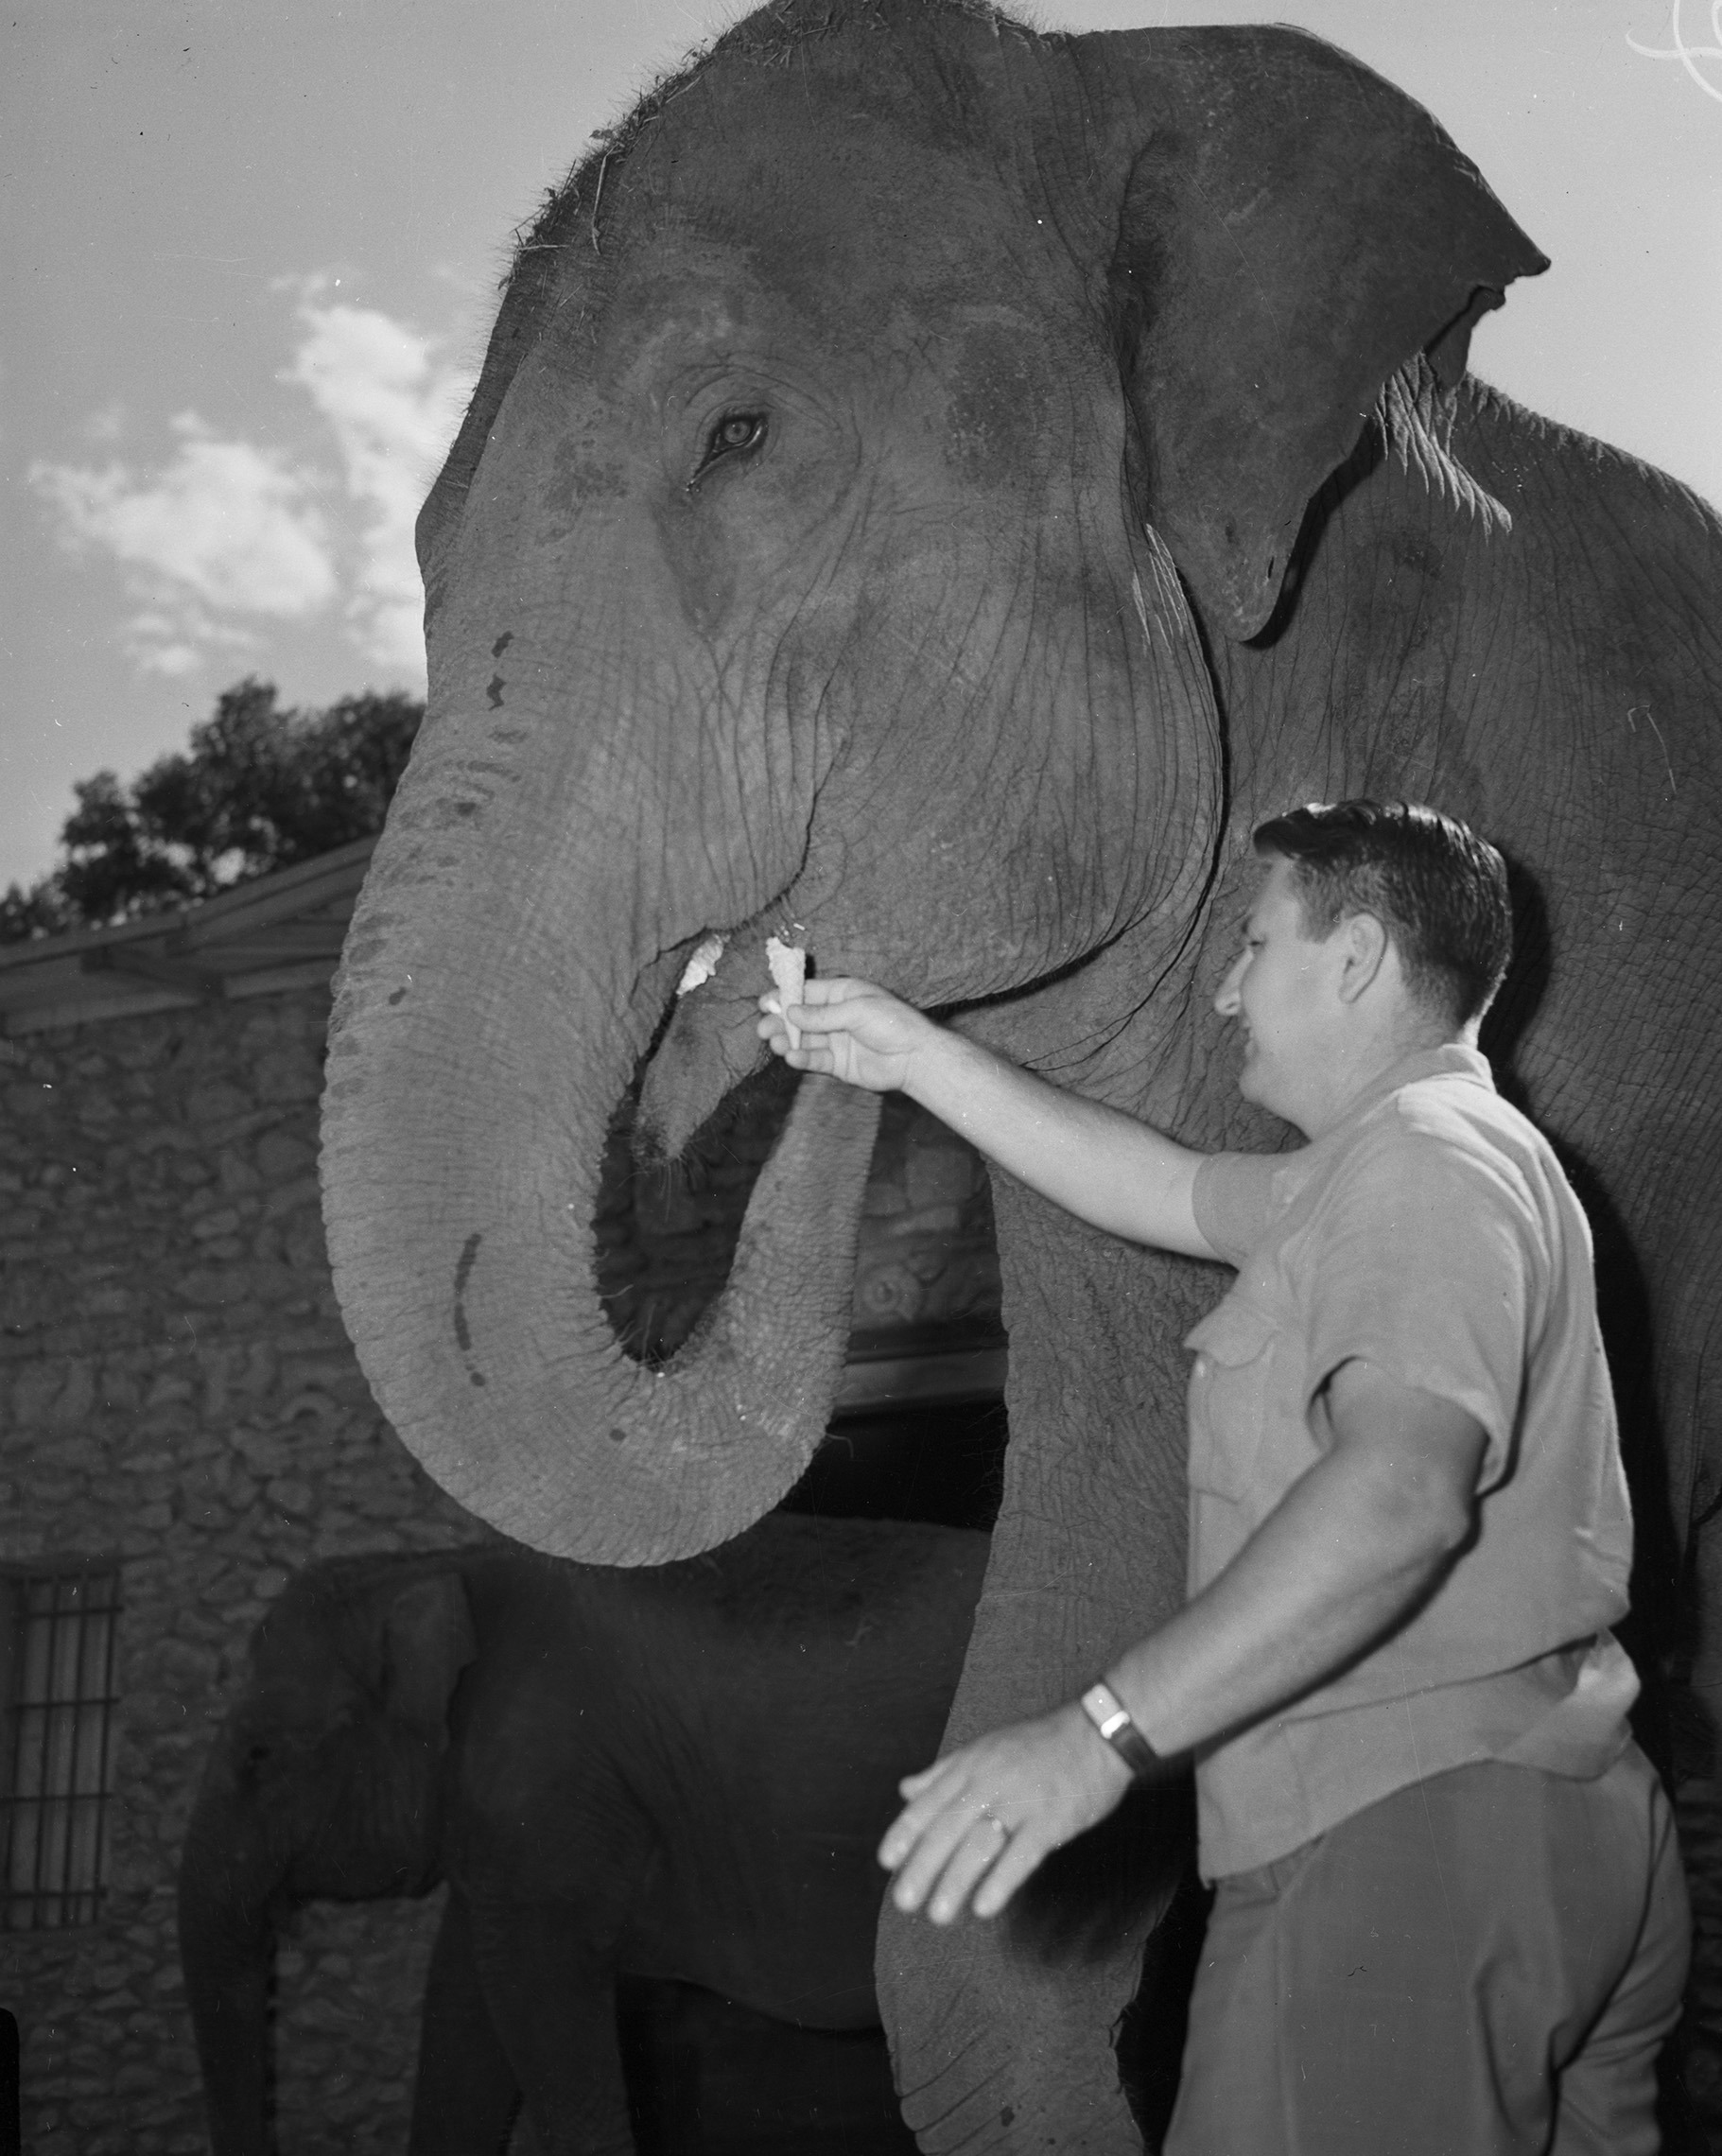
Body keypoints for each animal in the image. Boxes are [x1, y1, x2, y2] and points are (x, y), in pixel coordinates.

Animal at [180, 1518, 991, 2156]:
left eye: (258, 1756)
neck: (436, 1566)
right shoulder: (511, 1826)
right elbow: (462, 2004)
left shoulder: (547, 1782)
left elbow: (536, 2006)